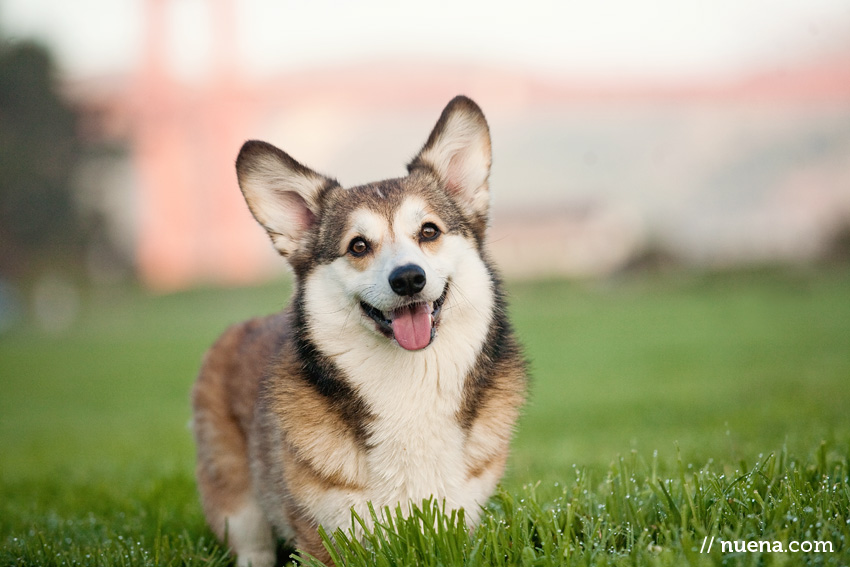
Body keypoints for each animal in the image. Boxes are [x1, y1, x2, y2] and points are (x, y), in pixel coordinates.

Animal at [190, 95, 524, 564]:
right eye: (358, 246)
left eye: (429, 231)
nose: (408, 279)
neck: (409, 385)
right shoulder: (326, 537)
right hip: (235, 500)